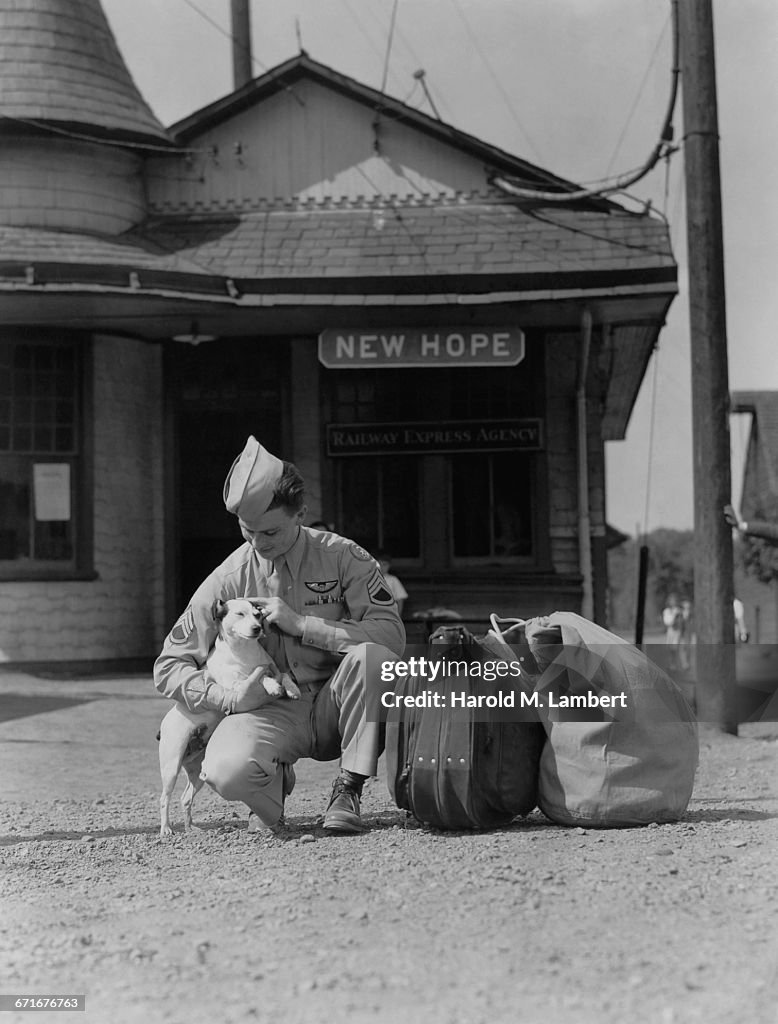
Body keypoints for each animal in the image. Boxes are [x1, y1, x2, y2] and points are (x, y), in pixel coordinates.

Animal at [157, 598, 300, 831]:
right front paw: (271, 687)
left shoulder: (275, 669)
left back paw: (190, 828)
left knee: (185, 798)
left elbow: (285, 674)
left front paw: (292, 689)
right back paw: (166, 829)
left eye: (257, 614)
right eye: (240, 614)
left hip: (198, 773)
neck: (245, 653)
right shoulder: (239, 684)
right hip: (171, 766)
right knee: (164, 799)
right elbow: (260, 678)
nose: (257, 628)